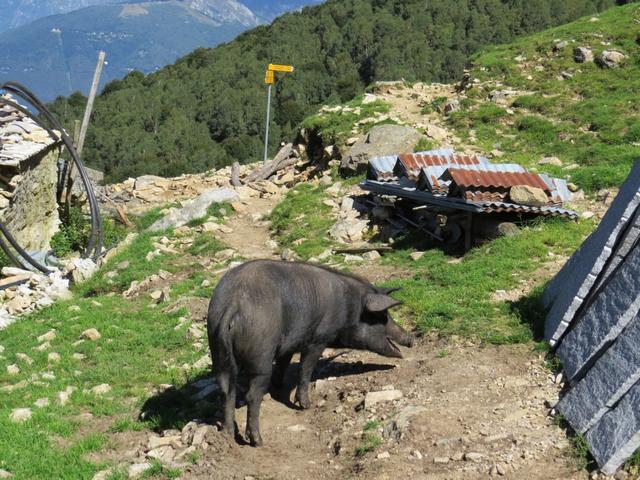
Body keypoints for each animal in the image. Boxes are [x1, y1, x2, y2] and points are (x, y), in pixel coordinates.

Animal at [208, 260, 412, 444]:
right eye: (382, 317)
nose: (410, 338)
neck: (348, 307)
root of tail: (233, 304)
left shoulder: (288, 344)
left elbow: (283, 363)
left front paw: (278, 385)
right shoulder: (318, 340)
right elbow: (305, 370)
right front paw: (306, 406)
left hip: (217, 348)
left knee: (226, 391)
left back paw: (227, 434)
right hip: (261, 354)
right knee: (252, 395)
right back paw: (258, 441)